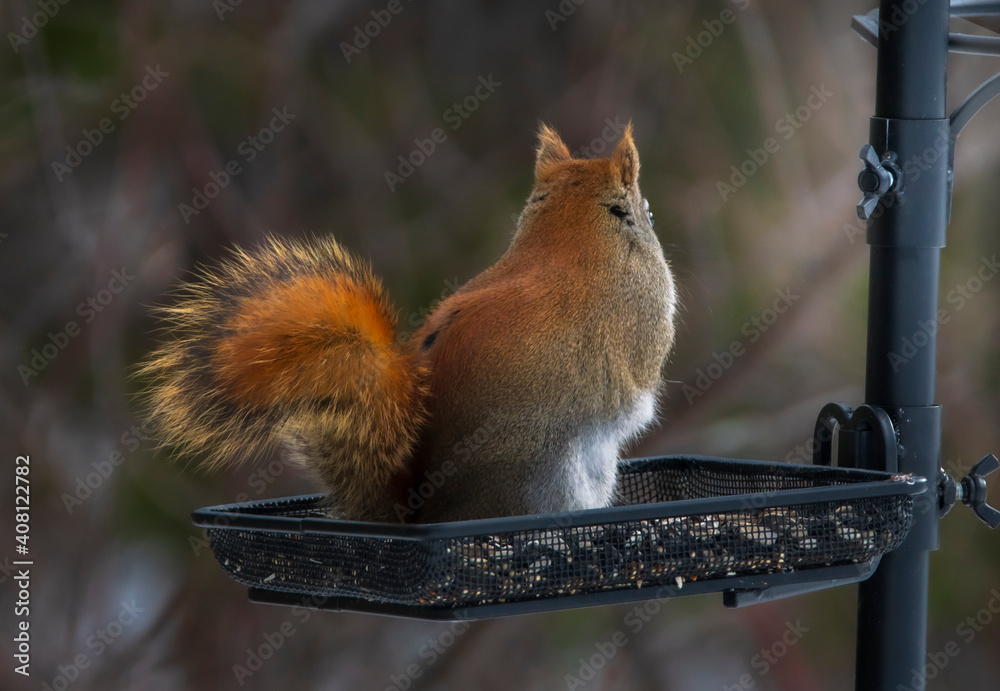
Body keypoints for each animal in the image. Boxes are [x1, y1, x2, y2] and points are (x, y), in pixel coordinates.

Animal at [140, 124, 677, 523]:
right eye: (646, 212)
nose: (653, 215)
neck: (568, 240)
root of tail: (428, 515)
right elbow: (639, 393)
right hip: (563, 474)